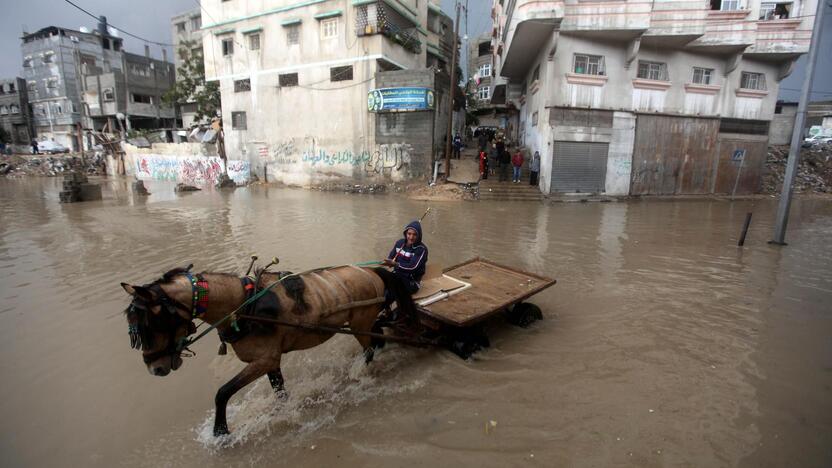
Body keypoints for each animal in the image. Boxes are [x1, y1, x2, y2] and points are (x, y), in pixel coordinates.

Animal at [122, 264, 416, 436]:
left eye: (151, 323)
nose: (155, 368)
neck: (243, 306)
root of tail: (374, 270)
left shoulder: (263, 360)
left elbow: (222, 392)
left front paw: (220, 431)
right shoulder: (271, 360)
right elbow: (280, 391)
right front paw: (284, 411)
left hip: (360, 323)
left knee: (370, 348)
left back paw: (358, 373)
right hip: (363, 322)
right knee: (377, 339)